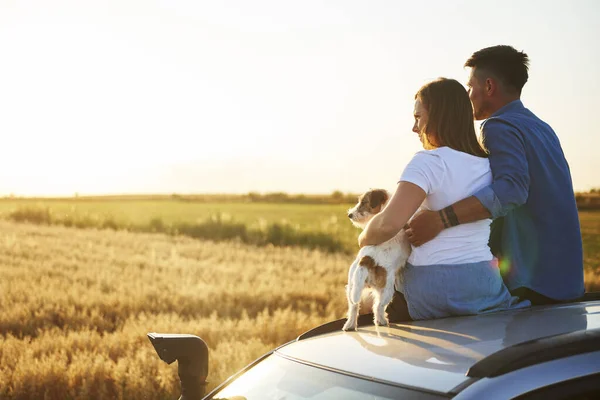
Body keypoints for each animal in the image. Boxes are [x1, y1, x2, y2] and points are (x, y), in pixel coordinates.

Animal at [342, 188, 412, 332]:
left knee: (354, 307)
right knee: (378, 306)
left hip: (351, 287)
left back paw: (350, 325)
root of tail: (367, 259)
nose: (349, 215)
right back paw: (382, 321)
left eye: (363, 202)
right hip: (386, 290)